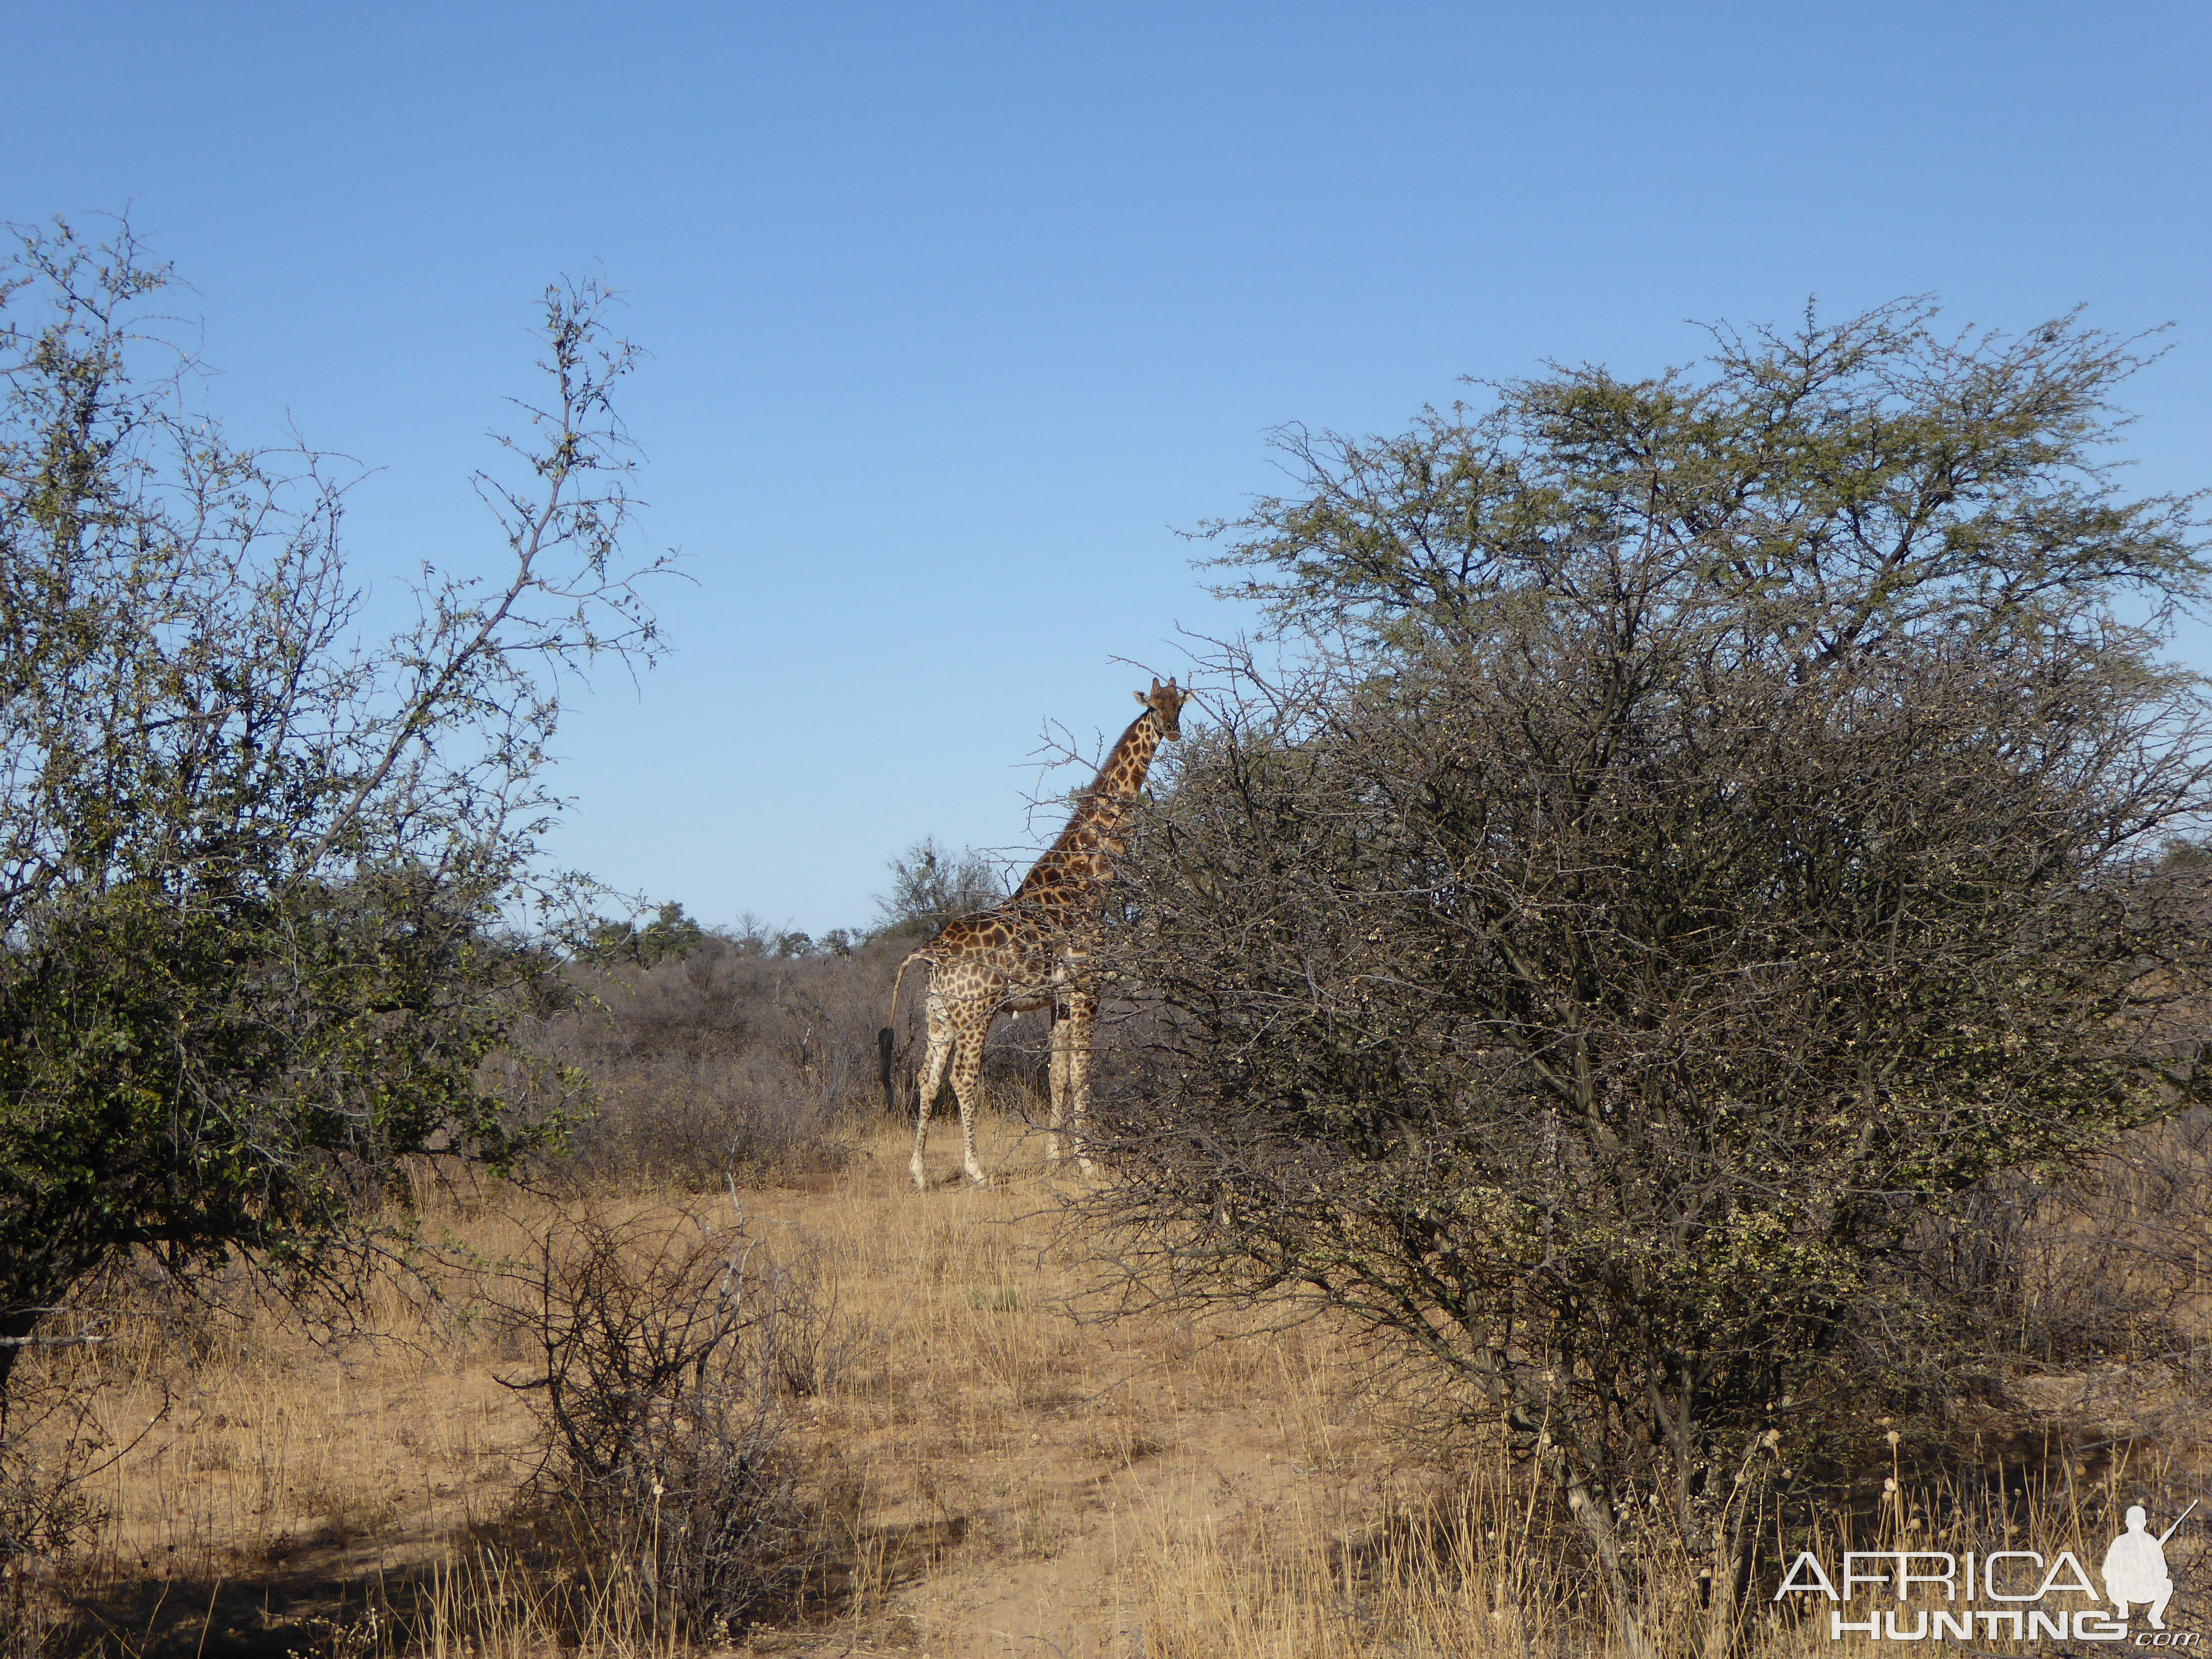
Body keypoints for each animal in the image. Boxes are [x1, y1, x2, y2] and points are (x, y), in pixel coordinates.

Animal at [885, 677, 1186, 1194]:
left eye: (1180, 704)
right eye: (1153, 706)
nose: (1172, 729)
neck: (1089, 882)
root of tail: (933, 953)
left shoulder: (1059, 998)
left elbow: (1057, 1073)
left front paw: (1055, 1160)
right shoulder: (1087, 987)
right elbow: (1082, 1071)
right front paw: (1089, 1165)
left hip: (938, 1015)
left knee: (927, 1078)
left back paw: (919, 1175)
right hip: (976, 1012)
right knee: (963, 1078)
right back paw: (977, 1171)